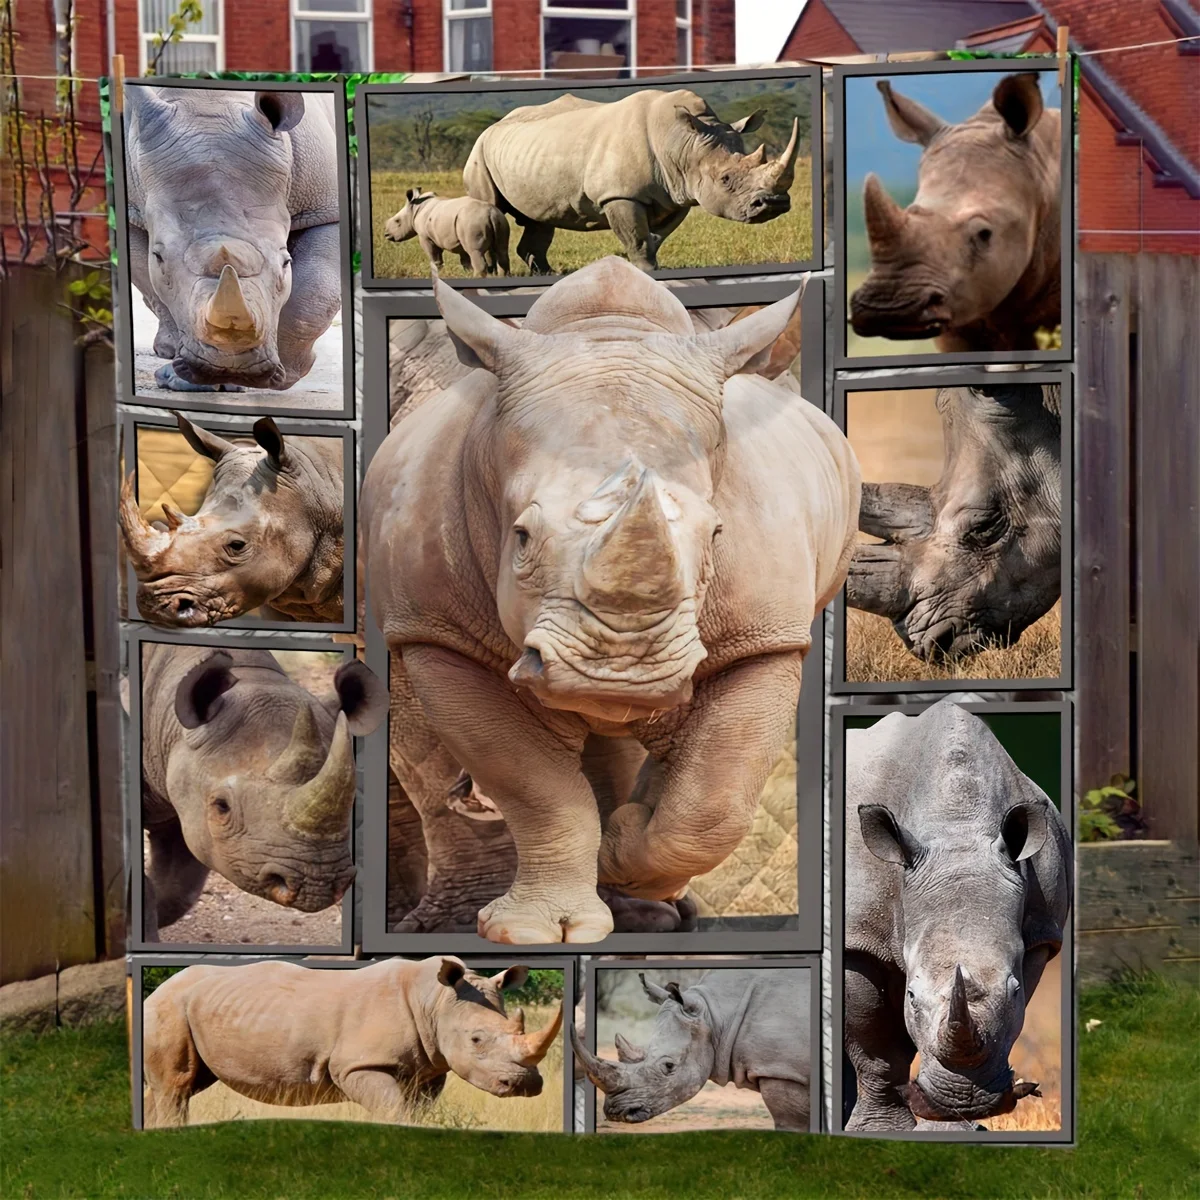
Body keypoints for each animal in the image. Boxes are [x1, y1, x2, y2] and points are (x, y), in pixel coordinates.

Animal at [125, 86, 342, 391]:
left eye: (285, 263)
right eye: (159, 258)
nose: (228, 370)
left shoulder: (325, 208)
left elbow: (315, 293)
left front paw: (283, 375)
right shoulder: (131, 211)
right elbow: (156, 289)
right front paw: (187, 382)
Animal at [142, 956, 563, 1127]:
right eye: (476, 1039)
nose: (526, 1085)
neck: (435, 1001)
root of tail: (157, 990)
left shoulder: (429, 1069)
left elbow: (418, 1113)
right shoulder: (357, 1065)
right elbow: (394, 1111)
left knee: (179, 1085)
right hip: (169, 1007)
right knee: (176, 1086)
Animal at [362, 256, 859, 944]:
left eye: (716, 536)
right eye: (521, 537)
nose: (620, 674)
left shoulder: (766, 635)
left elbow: (716, 798)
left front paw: (623, 848)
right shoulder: (433, 630)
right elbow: (534, 785)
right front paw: (531, 930)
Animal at [463, 90, 800, 274]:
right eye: (726, 179)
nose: (774, 204)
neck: (682, 144)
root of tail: (493, 126)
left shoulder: (676, 193)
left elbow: (655, 236)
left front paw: (649, 266)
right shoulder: (620, 195)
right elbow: (636, 235)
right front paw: (646, 270)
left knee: (541, 218)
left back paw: (546, 273)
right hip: (479, 152)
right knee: (490, 209)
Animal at [843, 701, 1072, 1131]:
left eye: (1014, 990)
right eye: (913, 996)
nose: (964, 1100)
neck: (957, 826)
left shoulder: (1040, 934)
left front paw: (950, 1124)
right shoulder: (857, 935)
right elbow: (875, 1042)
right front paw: (886, 1130)